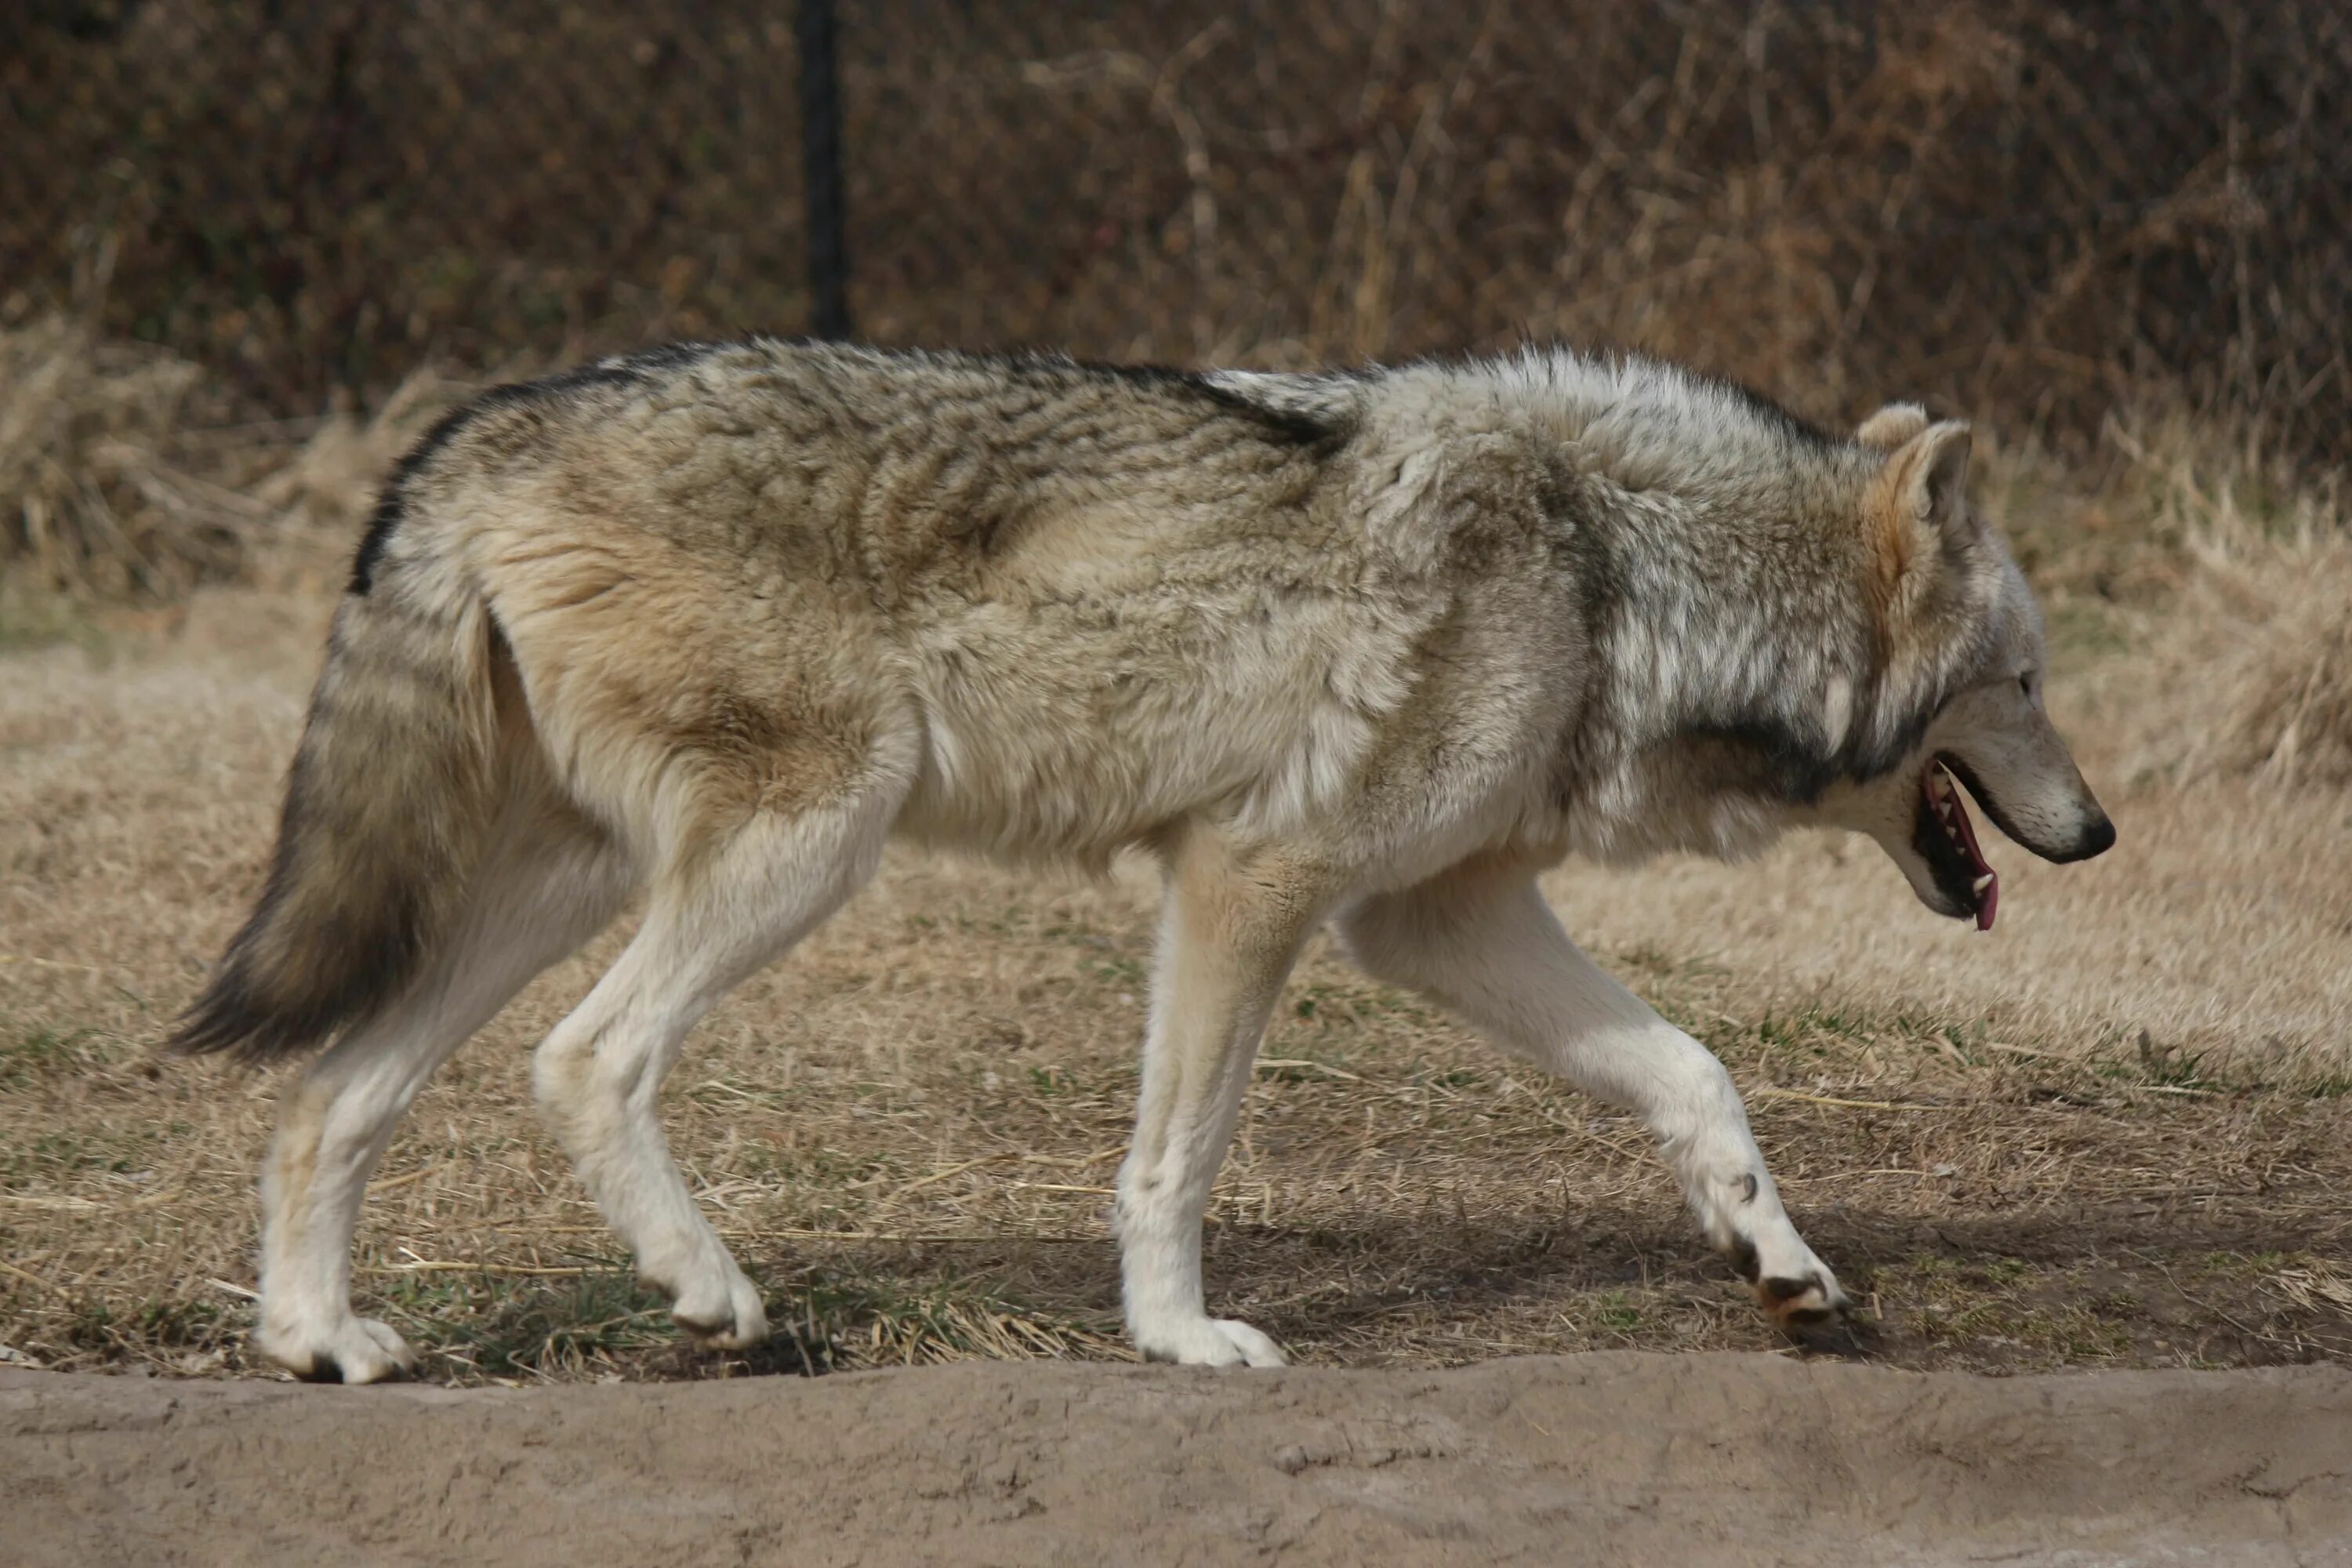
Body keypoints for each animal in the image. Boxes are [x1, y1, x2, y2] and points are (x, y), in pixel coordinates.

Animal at [170, 338, 2117, 1382]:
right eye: (2027, 681)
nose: (2100, 832)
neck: (1614, 565)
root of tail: (479, 429)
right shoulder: (1251, 877)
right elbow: (1175, 1160)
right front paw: (1182, 1341)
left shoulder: (1434, 913)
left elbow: (1696, 1074)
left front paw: (1785, 1269)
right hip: (810, 847)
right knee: (584, 1061)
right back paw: (720, 1301)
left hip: (565, 883)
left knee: (326, 1098)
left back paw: (319, 1341)